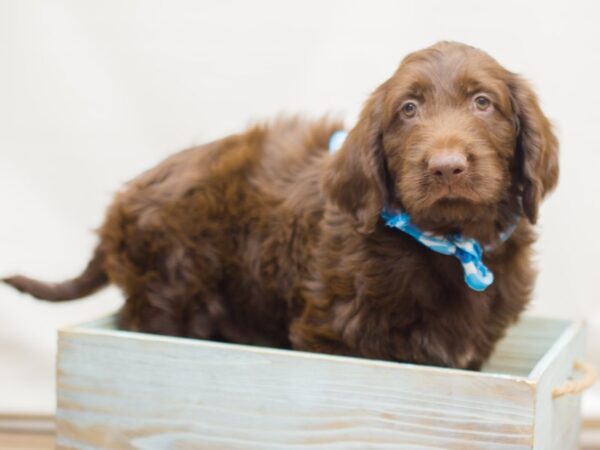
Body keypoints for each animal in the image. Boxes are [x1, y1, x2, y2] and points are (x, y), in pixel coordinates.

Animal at [3, 41, 556, 370]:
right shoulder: (331, 332)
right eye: (408, 109)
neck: (448, 245)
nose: (446, 167)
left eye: (483, 103)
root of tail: (121, 200)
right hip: (169, 290)